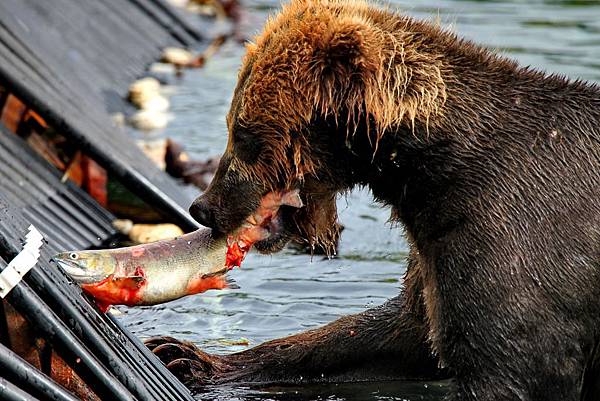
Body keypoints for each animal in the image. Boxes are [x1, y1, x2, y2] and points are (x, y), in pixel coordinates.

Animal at [146, 0, 600, 400]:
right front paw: (184, 356)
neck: (429, 172)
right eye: (234, 123)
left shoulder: (515, 239)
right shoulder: (435, 249)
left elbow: (512, 366)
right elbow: (394, 335)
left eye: (244, 134)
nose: (203, 206)